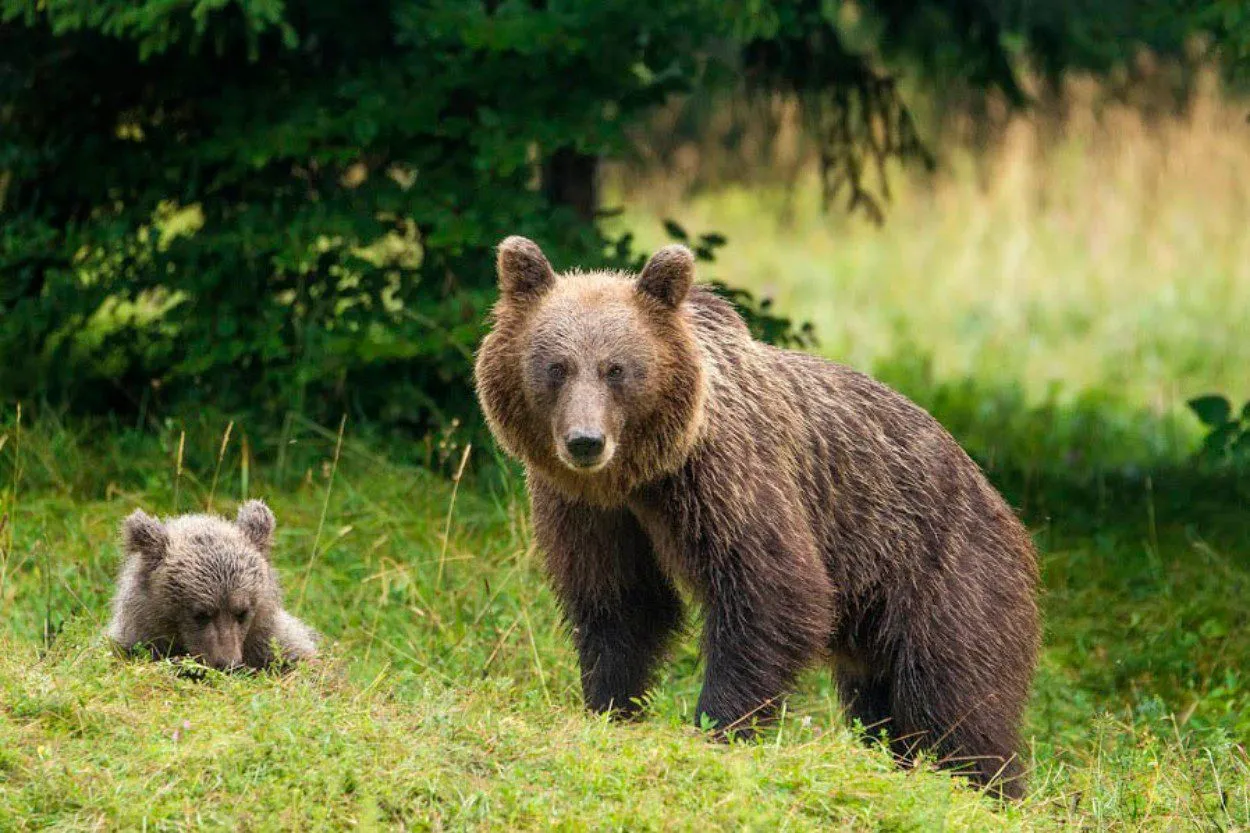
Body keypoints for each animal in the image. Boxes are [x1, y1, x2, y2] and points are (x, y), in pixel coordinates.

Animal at [472, 235, 1040, 800]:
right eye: (556, 367)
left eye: (617, 369)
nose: (586, 441)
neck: (642, 476)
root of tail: (1001, 503)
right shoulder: (593, 514)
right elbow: (620, 604)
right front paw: (610, 704)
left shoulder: (727, 479)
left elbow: (771, 591)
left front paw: (718, 723)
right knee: (882, 702)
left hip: (944, 570)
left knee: (957, 695)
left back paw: (986, 784)